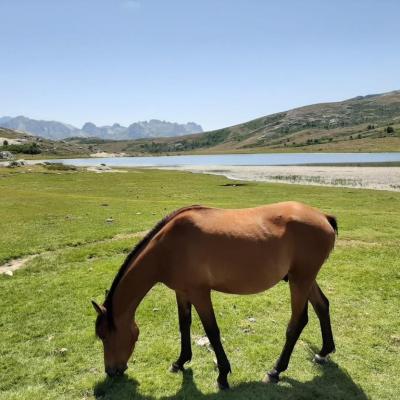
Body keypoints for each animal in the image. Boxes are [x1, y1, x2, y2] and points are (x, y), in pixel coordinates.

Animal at [91, 202, 338, 390]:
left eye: (104, 335)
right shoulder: (182, 292)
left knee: (297, 322)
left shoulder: (200, 293)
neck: (167, 248)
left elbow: (212, 331)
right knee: (322, 306)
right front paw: (180, 362)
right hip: (305, 279)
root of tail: (323, 217)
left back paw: (276, 370)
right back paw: (323, 353)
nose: (111, 371)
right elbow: (184, 324)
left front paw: (223, 376)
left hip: (300, 280)